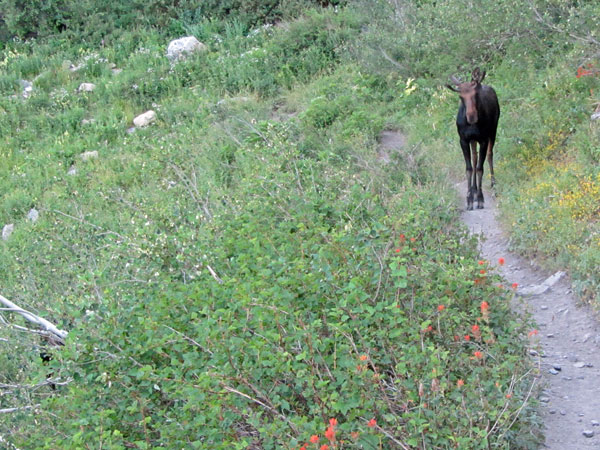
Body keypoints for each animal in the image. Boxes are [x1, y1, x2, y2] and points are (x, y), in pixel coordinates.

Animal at [448, 68, 500, 211]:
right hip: (473, 140)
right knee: (475, 157)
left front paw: (481, 199)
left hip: (493, 131)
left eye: (476, 94)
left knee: (489, 155)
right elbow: (469, 168)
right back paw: (474, 190)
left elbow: (480, 168)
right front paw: (470, 199)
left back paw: (493, 184)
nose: (471, 117)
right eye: (461, 97)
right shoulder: (464, 140)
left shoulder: (483, 140)